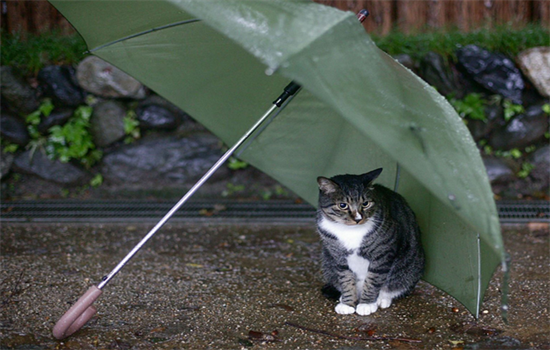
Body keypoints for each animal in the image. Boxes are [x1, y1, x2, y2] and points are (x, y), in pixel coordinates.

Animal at [314, 168, 426, 316]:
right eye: (343, 205)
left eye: (365, 203)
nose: (358, 219)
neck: (350, 231)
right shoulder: (338, 256)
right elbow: (346, 279)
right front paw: (347, 303)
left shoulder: (382, 254)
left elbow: (373, 280)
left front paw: (366, 304)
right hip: (327, 262)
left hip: (409, 267)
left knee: (394, 285)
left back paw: (382, 299)